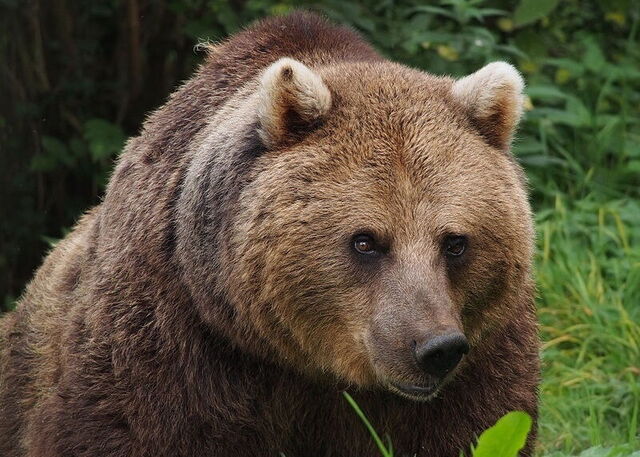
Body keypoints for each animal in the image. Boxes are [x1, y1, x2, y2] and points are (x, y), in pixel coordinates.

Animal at [0, 11, 539, 457]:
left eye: (455, 242)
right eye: (365, 240)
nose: (434, 348)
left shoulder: (483, 352)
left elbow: (476, 427)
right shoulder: (172, 339)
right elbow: (123, 427)